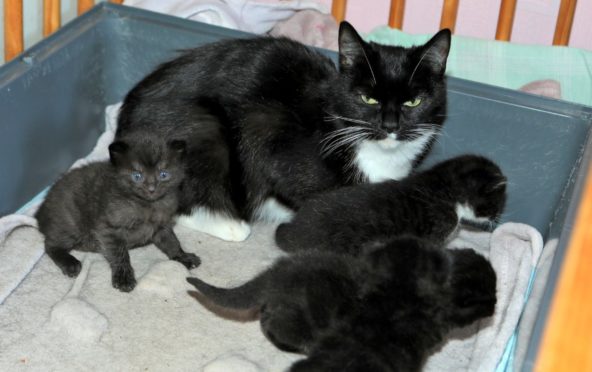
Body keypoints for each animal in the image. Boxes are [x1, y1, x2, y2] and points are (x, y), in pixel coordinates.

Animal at [35, 135, 201, 292]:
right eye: (137, 176)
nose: (151, 188)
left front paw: (182, 256)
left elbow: (172, 242)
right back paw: (70, 263)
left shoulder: (162, 225)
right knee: (49, 245)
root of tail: (41, 210)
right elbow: (120, 254)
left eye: (163, 174)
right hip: (70, 224)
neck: (146, 205)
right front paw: (123, 278)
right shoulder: (109, 229)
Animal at [113, 22, 450, 241]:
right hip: (202, 130)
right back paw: (230, 224)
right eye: (368, 98)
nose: (390, 125)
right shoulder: (269, 136)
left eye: (413, 101)